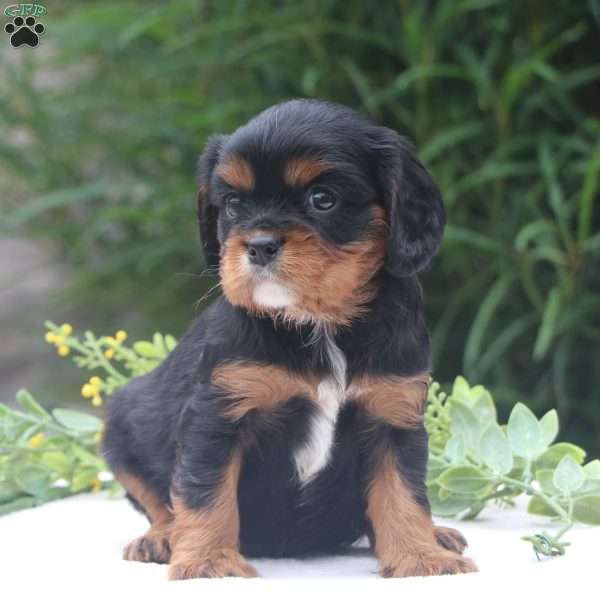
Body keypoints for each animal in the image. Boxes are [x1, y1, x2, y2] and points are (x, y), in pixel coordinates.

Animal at [103, 98, 478, 576]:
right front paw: (207, 561)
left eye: (323, 199)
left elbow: (403, 494)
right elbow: (204, 492)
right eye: (232, 203)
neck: (319, 323)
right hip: (123, 423)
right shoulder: (217, 415)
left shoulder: (393, 414)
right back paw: (162, 538)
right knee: (158, 500)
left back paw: (437, 534)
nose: (259, 245)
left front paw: (421, 556)